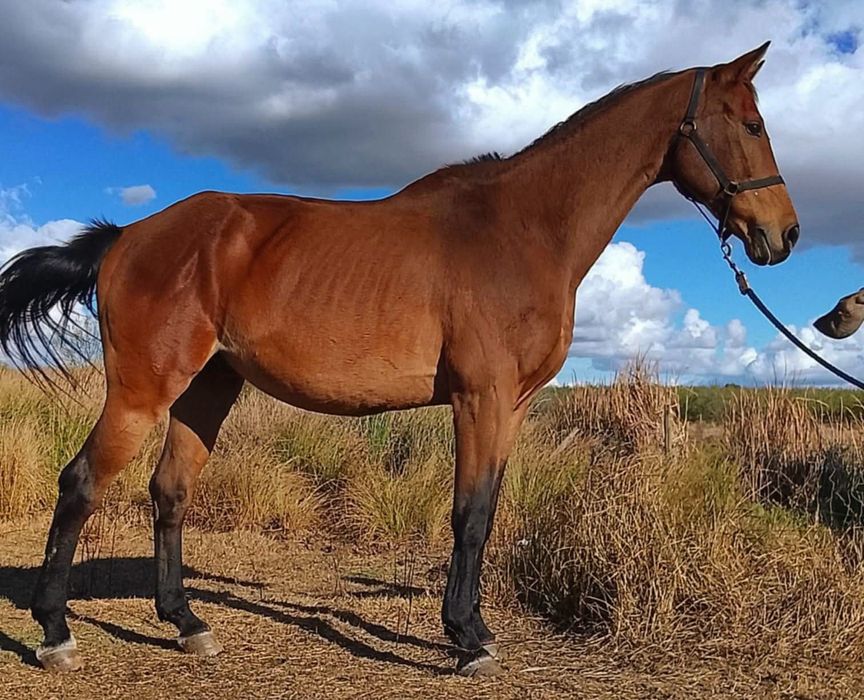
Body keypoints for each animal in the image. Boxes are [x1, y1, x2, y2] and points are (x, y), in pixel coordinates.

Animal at [0, 42, 799, 677]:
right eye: (751, 124)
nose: (785, 234)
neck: (522, 229)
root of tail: (130, 234)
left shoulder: (511, 406)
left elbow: (487, 511)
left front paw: (471, 628)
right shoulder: (479, 397)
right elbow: (468, 516)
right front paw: (467, 640)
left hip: (208, 388)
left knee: (169, 491)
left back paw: (188, 625)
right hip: (143, 389)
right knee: (81, 484)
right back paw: (55, 634)